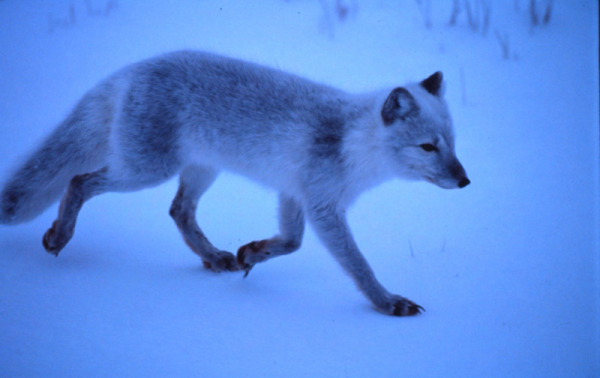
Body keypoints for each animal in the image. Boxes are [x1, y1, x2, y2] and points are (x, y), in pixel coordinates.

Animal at [0, 50, 468, 316]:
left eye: (452, 143)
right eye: (428, 147)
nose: (465, 180)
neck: (352, 142)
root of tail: (134, 68)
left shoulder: (294, 194)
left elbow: (291, 243)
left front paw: (252, 254)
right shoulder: (322, 205)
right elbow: (359, 266)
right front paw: (387, 303)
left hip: (199, 171)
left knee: (179, 210)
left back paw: (213, 257)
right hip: (145, 170)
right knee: (79, 181)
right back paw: (60, 235)